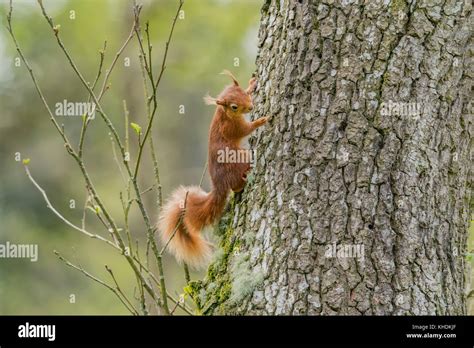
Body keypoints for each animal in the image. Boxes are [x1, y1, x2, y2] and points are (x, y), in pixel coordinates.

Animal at [159, 71, 268, 270]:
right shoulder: (231, 128)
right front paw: (261, 120)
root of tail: (218, 185)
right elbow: (246, 130)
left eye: (243, 94)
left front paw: (252, 83)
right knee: (237, 185)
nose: (250, 107)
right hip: (239, 159)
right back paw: (245, 177)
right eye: (234, 107)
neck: (222, 113)